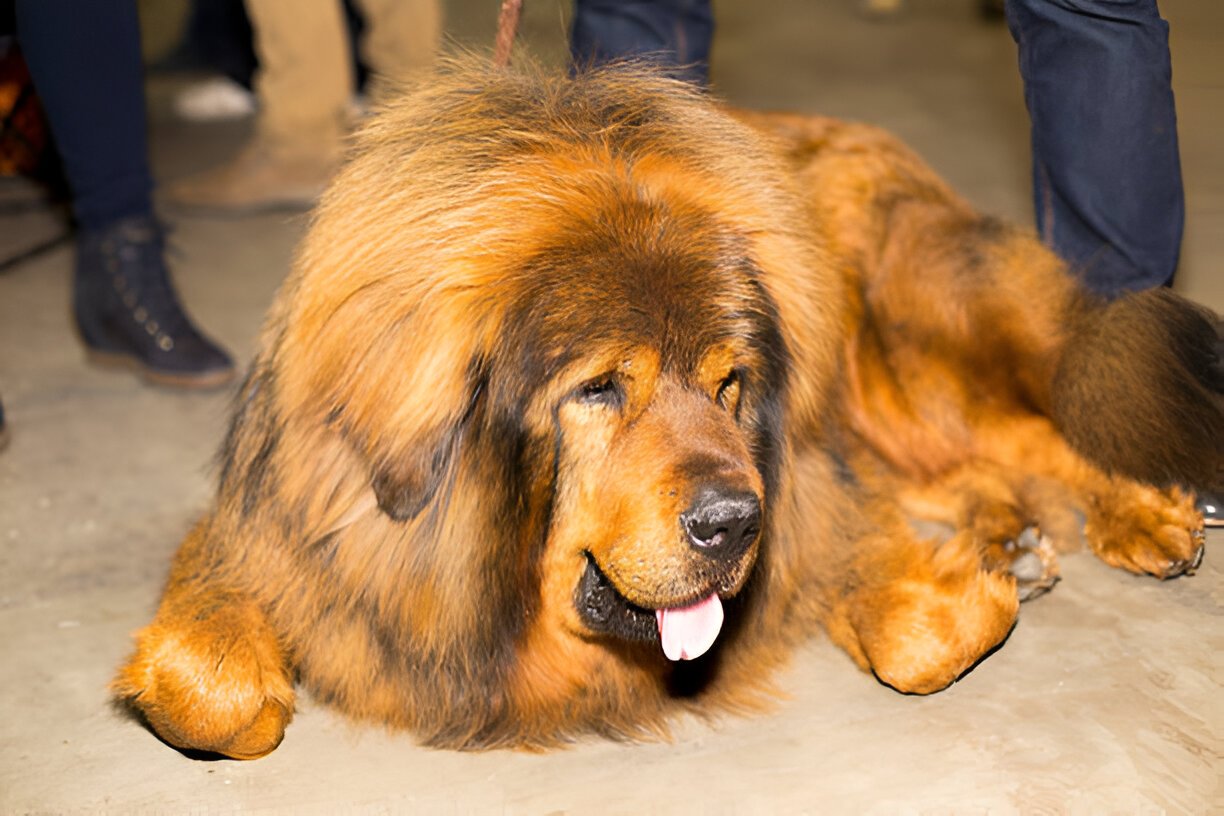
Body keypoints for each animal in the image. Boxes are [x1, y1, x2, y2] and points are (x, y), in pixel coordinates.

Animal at [114, 59, 1221, 759]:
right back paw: (1017, 529)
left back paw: (1141, 512)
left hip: (909, 362)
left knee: (1048, 417)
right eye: (601, 387)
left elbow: (914, 643)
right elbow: (210, 694)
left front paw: (962, 590)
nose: (734, 523)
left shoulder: (810, 488)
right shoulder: (268, 534)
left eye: (732, 385)